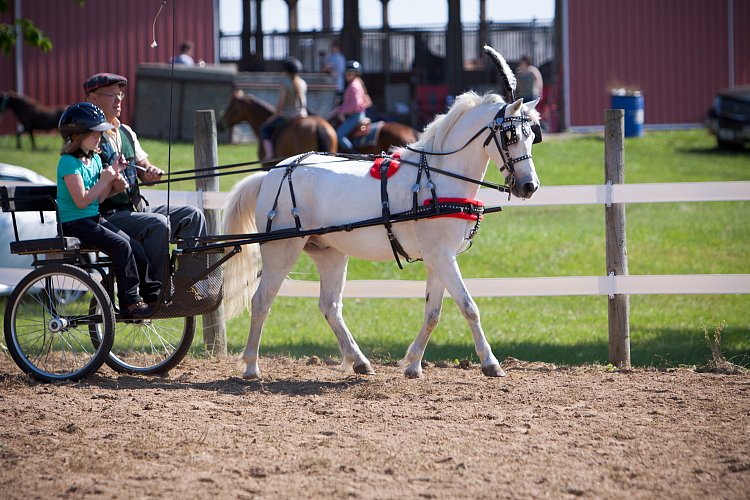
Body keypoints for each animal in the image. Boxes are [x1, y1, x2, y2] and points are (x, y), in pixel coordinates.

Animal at [222, 47, 540, 376]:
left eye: (533, 136)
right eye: (511, 136)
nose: (529, 186)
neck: (438, 178)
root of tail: (272, 172)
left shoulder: (439, 257)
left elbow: (433, 313)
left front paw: (413, 363)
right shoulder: (441, 256)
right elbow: (468, 306)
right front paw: (490, 362)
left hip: (329, 253)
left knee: (330, 307)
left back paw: (359, 360)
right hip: (281, 250)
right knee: (261, 301)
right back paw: (251, 366)